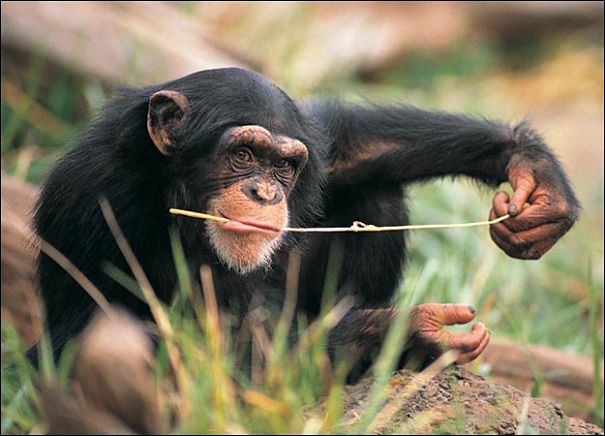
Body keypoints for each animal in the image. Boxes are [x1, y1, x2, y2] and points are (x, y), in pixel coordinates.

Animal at [31, 66, 576, 376]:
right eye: (243, 154)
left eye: (285, 166)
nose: (266, 192)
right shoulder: (96, 198)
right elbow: (117, 340)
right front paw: (406, 332)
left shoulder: (312, 141)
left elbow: (344, 143)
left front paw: (531, 169)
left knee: (374, 192)